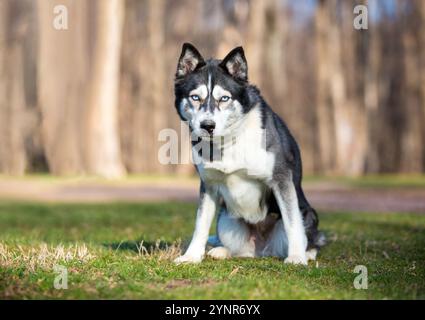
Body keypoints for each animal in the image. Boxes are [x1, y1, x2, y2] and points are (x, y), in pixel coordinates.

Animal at [172, 44, 324, 264]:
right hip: (226, 219)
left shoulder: (281, 180)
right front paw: (191, 256)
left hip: (308, 214)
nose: (208, 125)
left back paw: (307, 253)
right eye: (195, 97)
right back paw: (220, 251)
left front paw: (296, 257)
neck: (229, 141)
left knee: (310, 237)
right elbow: (200, 225)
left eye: (224, 98)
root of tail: (262, 250)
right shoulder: (208, 185)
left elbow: (292, 223)